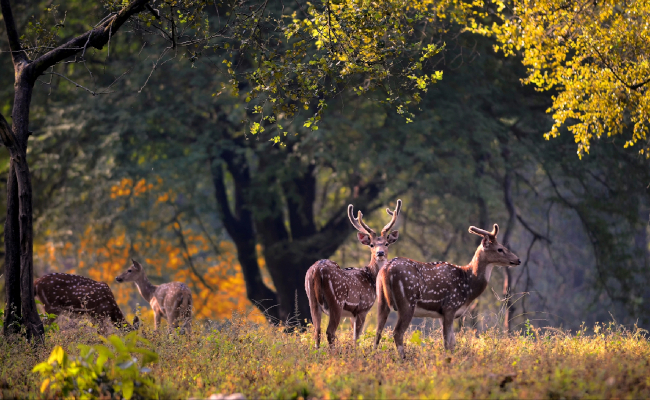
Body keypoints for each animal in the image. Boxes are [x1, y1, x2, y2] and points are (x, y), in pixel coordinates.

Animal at [304, 199, 400, 346]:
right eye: (371, 244)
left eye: (386, 244)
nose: (380, 253)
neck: (371, 278)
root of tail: (316, 271)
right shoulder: (362, 308)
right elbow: (356, 338)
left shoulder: (351, 314)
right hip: (336, 301)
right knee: (330, 332)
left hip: (312, 300)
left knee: (317, 331)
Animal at [372, 223, 520, 358]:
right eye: (500, 249)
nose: (517, 260)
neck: (468, 285)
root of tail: (386, 269)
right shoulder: (450, 306)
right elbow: (448, 343)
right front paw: (449, 361)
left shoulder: (442, 314)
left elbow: (452, 342)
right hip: (407, 302)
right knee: (397, 333)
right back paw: (403, 359)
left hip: (381, 300)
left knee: (378, 331)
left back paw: (373, 355)